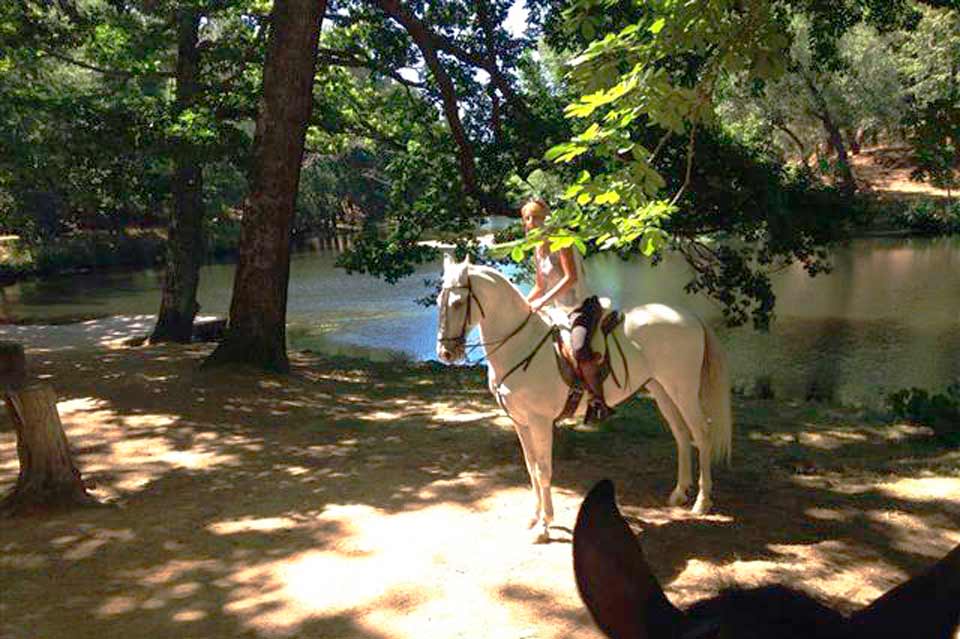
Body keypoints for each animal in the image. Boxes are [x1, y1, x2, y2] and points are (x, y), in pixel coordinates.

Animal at [435, 255, 733, 542]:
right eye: (439, 301)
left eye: (459, 303)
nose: (446, 353)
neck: (519, 344)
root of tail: (690, 317)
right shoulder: (520, 421)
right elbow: (531, 468)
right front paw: (534, 518)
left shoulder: (540, 421)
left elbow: (543, 470)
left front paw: (544, 526)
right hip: (662, 389)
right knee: (682, 435)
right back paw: (679, 493)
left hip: (683, 389)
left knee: (701, 434)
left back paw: (702, 502)